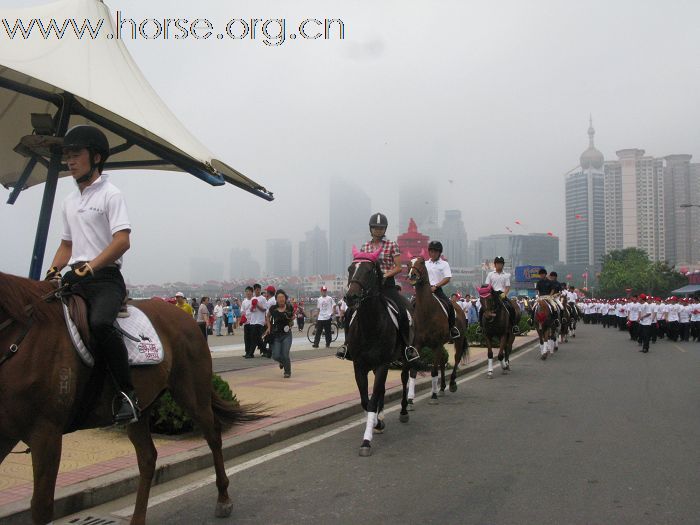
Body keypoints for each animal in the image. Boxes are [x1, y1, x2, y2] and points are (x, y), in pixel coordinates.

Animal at [0, 272, 262, 520]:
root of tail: (186, 317)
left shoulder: (46, 432)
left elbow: (41, 507)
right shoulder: (8, 432)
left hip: (191, 392)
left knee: (213, 435)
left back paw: (223, 498)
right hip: (144, 406)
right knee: (147, 458)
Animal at [344, 248, 410, 456]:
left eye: (369, 271)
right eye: (350, 269)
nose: (351, 297)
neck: (370, 324)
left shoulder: (382, 364)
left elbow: (372, 401)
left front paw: (366, 441)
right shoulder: (360, 366)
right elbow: (366, 401)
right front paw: (376, 423)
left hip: (404, 358)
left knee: (404, 380)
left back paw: (404, 412)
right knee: (380, 391)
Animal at [404, 256, 470, 404]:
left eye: (421, 262)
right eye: (409, 263)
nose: (412, 275)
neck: (426, 312)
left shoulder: (436, 345)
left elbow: (434, 371)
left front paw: (433, 396)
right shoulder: (417, 345)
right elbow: (413, 372)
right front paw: (410, 399)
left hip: (458, 339)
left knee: (456, 358)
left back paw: (451, 384)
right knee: (442, 362)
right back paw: (442, 388)